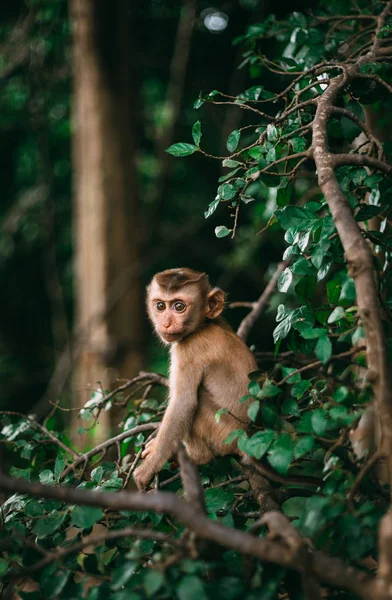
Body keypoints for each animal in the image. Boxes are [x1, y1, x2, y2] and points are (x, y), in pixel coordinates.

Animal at [133, 268, 320, 492]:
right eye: (160, 306)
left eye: (179, 306)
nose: (166, 323)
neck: (203, 325)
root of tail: (245, 439)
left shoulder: (188, 349)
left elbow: (183, 403)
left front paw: (146, 471)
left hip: (221, 433)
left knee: (196, 403)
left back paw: (198, 456)